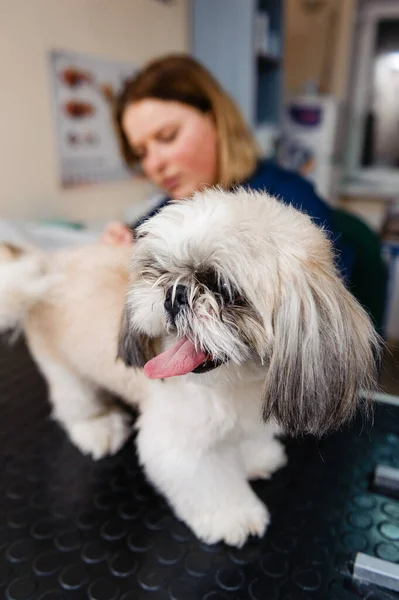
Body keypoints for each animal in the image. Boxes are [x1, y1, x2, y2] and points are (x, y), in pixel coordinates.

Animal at [0, 189, 382, 548]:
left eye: (225, 288)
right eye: (160, 272)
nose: (175, 293)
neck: (235, 385)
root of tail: (48, 265)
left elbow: (245, 439)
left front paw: (255, 457)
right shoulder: (177, 443)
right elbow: (209, 484)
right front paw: (235, 516)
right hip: (62, 368)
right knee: (75, 401)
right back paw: (97, 428)